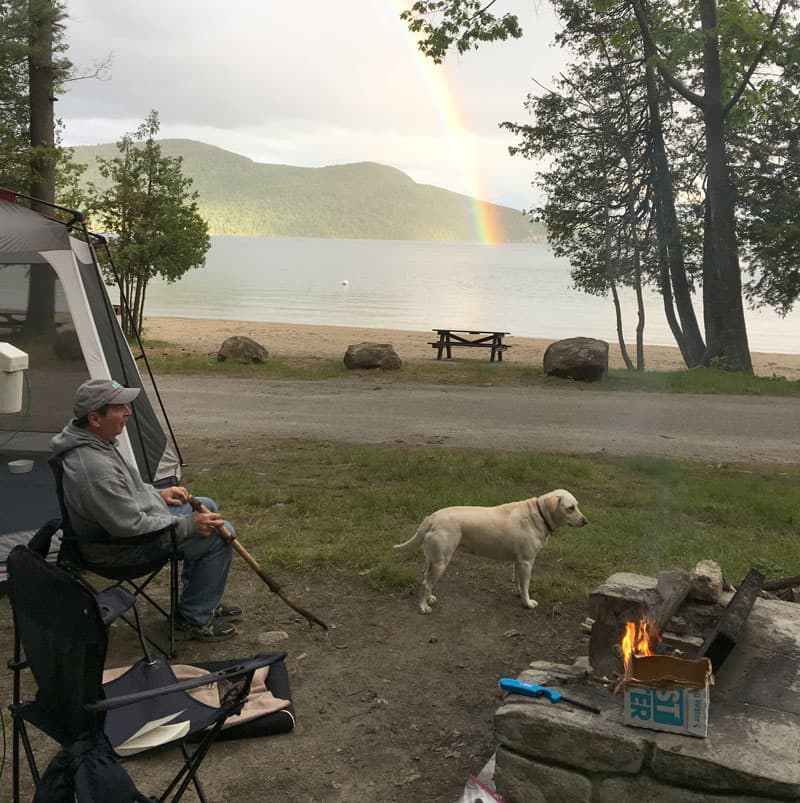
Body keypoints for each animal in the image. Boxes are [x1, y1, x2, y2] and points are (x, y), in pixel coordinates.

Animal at [394, 490, 588, 616]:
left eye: (577, 506)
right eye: (570, 508)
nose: (586, 521)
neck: (539, 515)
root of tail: (432, 516)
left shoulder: (518, 561)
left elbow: (519, 582)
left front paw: (519, 594)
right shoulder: (527, 561)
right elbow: (526, 585)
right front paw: (527, 603)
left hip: (433, 560)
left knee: (426, 580)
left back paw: (429, 599)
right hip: (441, 562)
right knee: (426, 583)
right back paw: (423, 607)